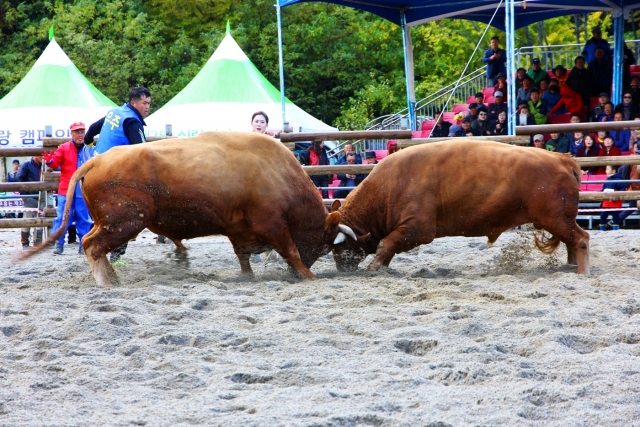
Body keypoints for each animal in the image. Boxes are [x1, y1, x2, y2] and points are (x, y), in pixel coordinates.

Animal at [21, 133, 356, 288]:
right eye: (326, 245)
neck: (277, 172)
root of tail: (97, 160)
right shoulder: (273, 225)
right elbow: (291, 251)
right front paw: (308, 275)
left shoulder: (238, 230)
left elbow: (243, 256)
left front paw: (247, 277)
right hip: (124, 222)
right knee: (92, 245)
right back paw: (107, 283)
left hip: (109, 222)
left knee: (94, 243)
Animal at [332, 139, 592, 276]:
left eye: (338, 246)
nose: (340, 269)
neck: (389, 184)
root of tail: (562, 159)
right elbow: (388, 248)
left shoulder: (419, 229)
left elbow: (387, 244)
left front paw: (374, 267)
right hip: (559, 220)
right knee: (572, 240)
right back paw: (570, 266)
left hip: (556, 219)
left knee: (580, 239)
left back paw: (581, 271)